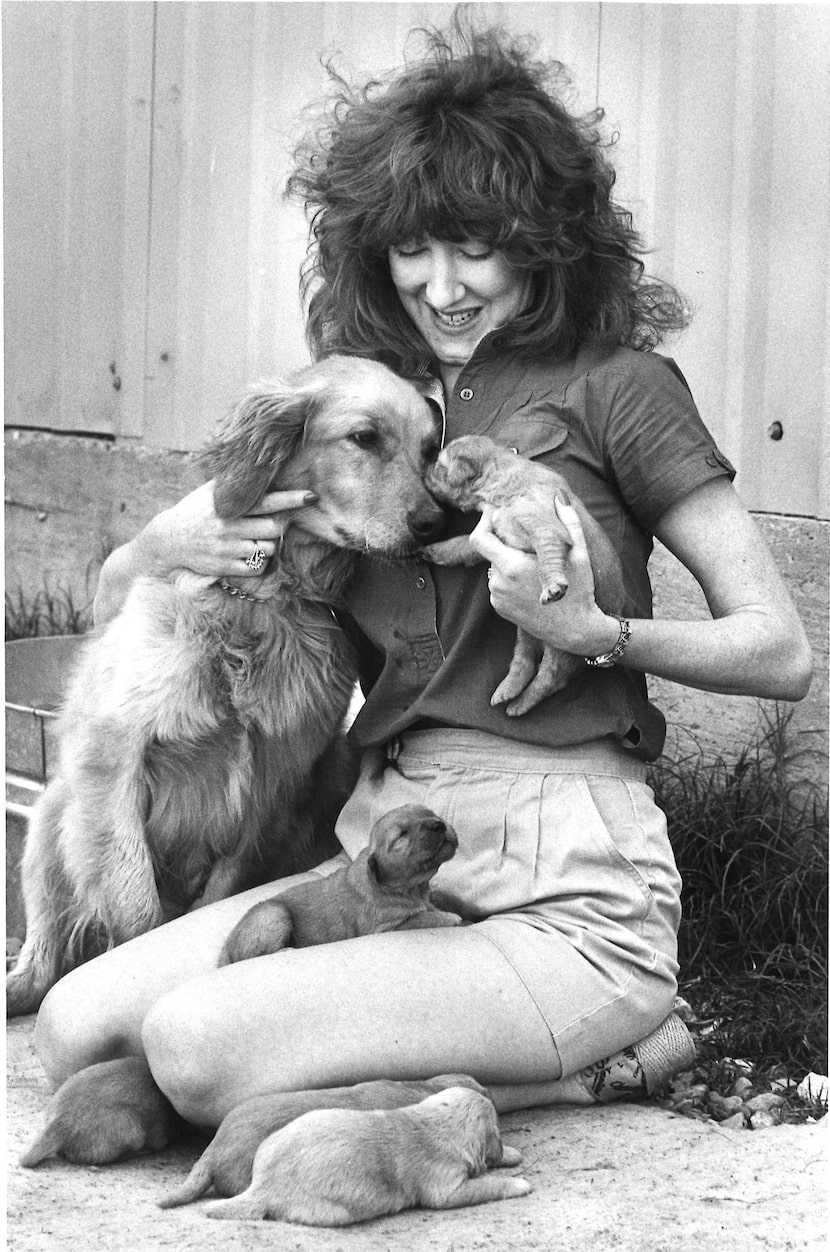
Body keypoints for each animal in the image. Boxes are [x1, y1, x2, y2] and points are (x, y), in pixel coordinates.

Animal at [217, 801, 463, 966]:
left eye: (429, 813)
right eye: (401, 836)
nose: (438, 825)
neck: (409, 889)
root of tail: (225, 952)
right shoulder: (388, 927)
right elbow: (431, 917)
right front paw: (454, 918)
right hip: (273, 913)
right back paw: (287, 950)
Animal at [425, 438, 625, 716]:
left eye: (439, 466)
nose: (425, 468)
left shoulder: (545, 526)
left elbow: (547, 553)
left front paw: (552, 586)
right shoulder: (495, 530)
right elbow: (463, 544)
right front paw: (436, 550)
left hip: (561, 648)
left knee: (549, 678)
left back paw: (520, 704)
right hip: (525, 633)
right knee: (524, 662)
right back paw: (506, 692)